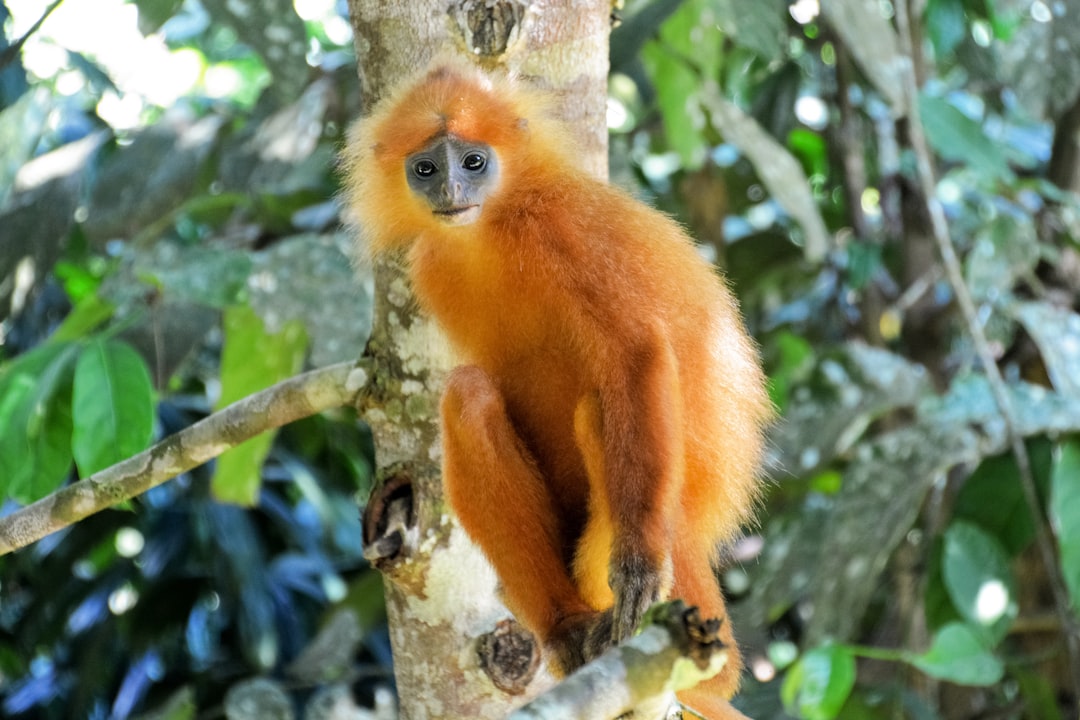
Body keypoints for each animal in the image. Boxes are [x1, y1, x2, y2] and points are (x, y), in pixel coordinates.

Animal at [341, 63, 773, 720]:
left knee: (601, 409)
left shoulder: (565, 228)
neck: (491, 229)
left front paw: (638, 566)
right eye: (426, 169)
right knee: (467, 397)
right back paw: (570, 631)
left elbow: (635, 352)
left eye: (473, 162)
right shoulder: (431, 265)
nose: (451, 190)